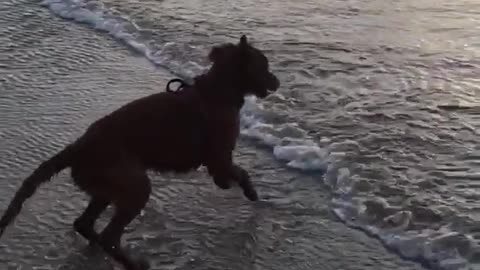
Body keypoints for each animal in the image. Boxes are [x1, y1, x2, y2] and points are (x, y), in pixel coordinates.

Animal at [0, 35, 280, 270]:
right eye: (264, 65)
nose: (278, 81)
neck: (217, 91)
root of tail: (78, 147)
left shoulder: (219, 162)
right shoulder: (220, 159)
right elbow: (241, 173)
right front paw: (250, 193)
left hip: (107, 189)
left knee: (85, 224)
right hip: (135, 186)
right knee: (108, 235)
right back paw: (133, 263)